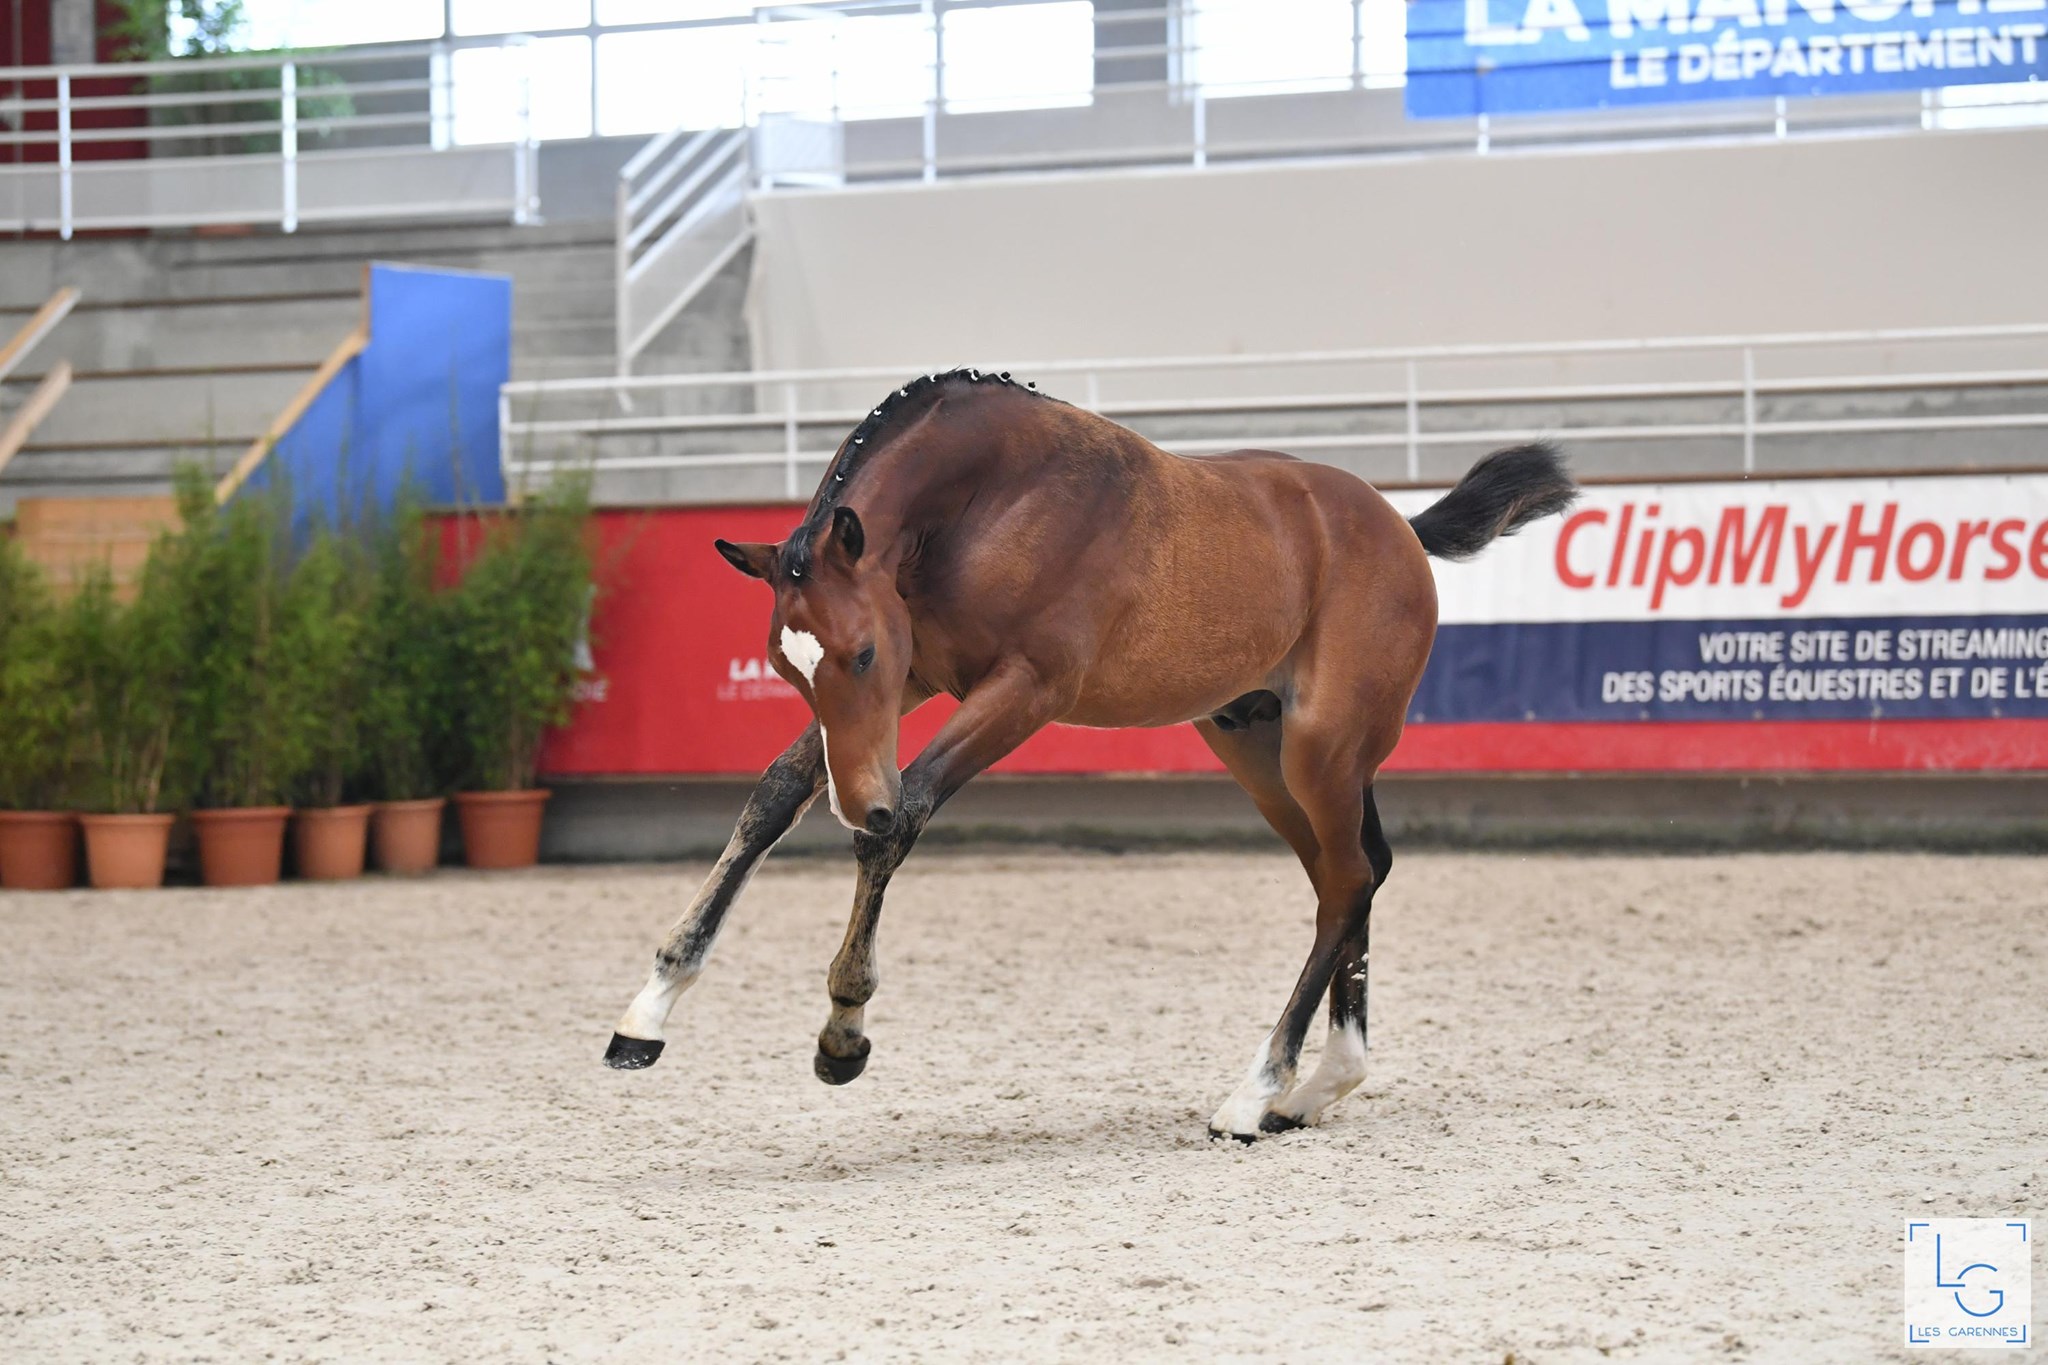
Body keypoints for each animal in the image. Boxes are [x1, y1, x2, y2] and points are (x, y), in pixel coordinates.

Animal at [603, 367, 1576, 1140]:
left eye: (862, 652)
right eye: (784, 665)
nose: (856, 797)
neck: (992, 493)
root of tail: (1401, 526)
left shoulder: (1021, 690)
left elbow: (903, 813)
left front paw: (843, 1029)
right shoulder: (917, 684)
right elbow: (775, 794)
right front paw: (645, 1015)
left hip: (1322, 747)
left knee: (1345, 880)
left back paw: (1255, 1092)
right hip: (1260, 746)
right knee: (1357, 871)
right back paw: (1317, 1086)